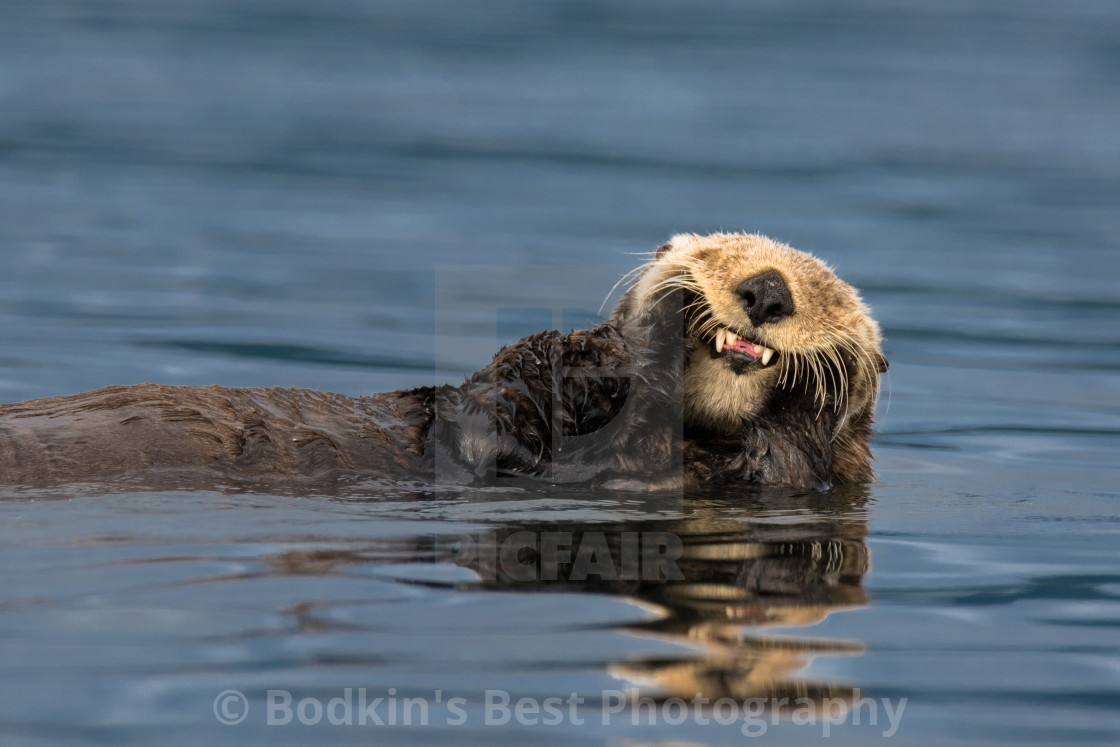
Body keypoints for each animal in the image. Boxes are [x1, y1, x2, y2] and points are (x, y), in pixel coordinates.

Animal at [0, 234, 887, 490]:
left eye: (826, 290)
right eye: (716, 250)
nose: (765, 289)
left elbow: (784, 451)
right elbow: (526, 373)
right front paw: (661, 306)